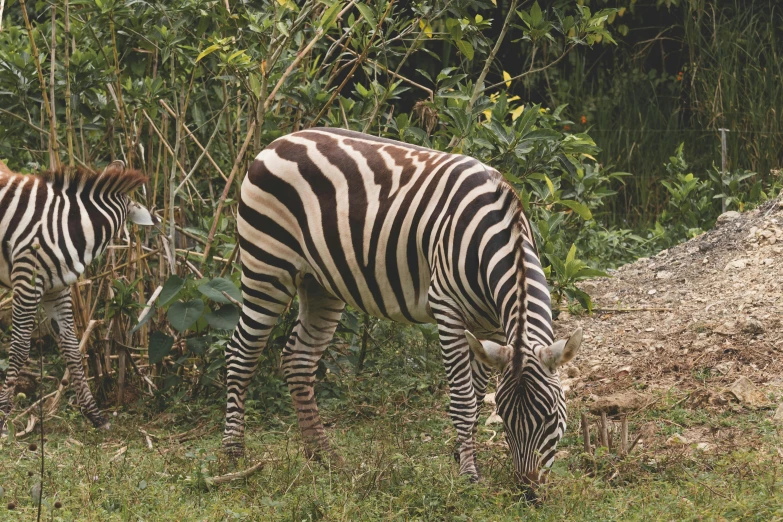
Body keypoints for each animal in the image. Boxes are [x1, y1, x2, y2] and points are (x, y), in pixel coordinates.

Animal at [0, 160, 155, 432]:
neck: (73, 226)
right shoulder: (27, 278)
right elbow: (19, 348)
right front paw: (3, 417)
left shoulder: (56, 289)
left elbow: (72, 347)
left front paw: (95, 415)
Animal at [224, 127, 584, 488]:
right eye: (507, 419)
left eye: (551, 416)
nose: (528, 489)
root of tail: (276, 143)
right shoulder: (447, 308)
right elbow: (464, 399)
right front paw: (468, 473)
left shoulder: (491, 328)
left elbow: (479, 393)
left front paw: (462, 455)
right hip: (266, 266)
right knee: (240, 353)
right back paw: (234, 456)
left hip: (319, 284)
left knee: (298, 360)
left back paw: (323, 455)